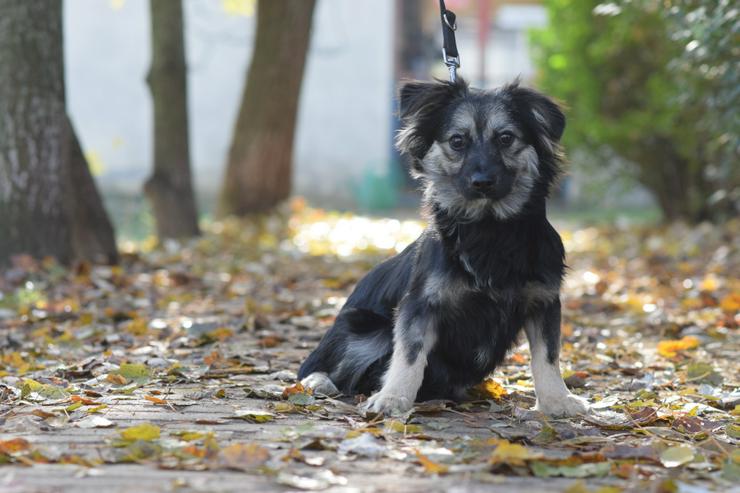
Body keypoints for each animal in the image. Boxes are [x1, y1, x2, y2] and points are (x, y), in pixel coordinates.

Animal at [298, 79, 588, 418]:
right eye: (457, 141)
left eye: (506, 138)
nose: (482, 182)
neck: (490, 229)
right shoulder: (420, 305)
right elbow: (410, 354)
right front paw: (393, 397)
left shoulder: (543, 301)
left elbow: (547, 356)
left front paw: (557, 400)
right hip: (363, 330)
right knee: (316, 367)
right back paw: (318, 382)